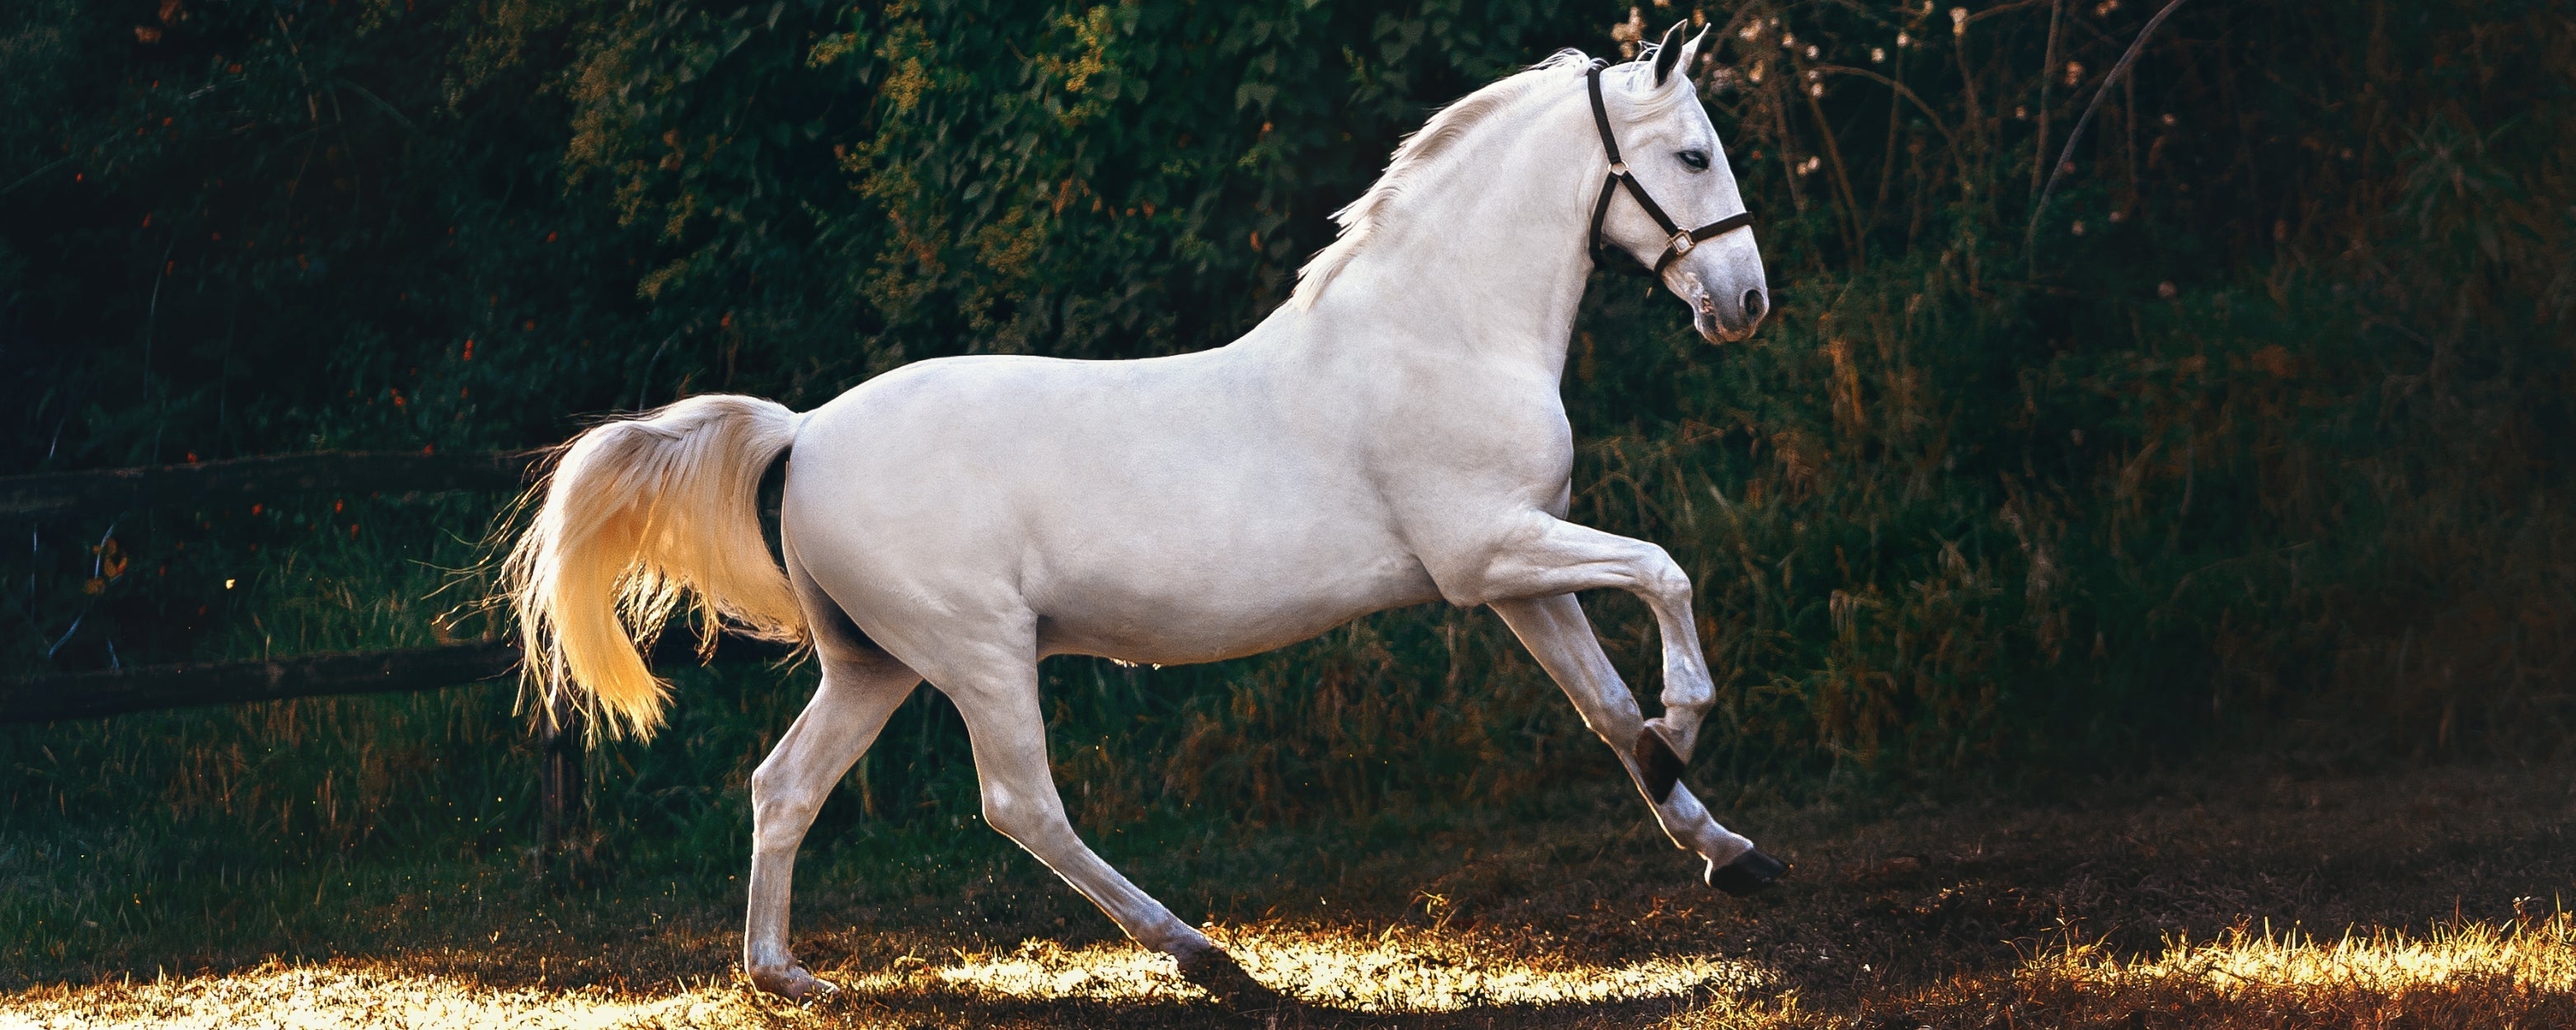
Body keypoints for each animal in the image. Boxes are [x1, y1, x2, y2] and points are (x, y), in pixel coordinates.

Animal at [501, 23, 1779, 1003]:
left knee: (786, 785)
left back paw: (784, 974)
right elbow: (1665, 574)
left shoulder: (1520, 574)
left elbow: (1605, 710)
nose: (1745, 303)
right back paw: (1204, 954)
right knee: (1021, 803)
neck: (1440, 333)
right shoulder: (1489, 553)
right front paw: (1685, 725)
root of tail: (805, 430)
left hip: (874, 663)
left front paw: (1722, 845)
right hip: (977, 651)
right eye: (1692, 153)